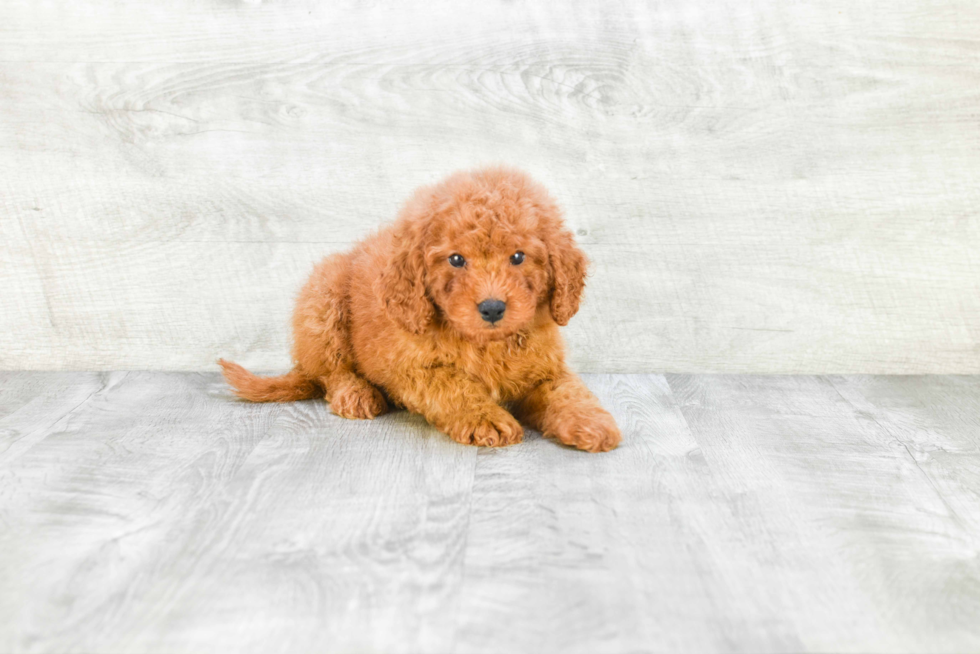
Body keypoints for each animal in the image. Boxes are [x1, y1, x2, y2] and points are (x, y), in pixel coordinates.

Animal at [220, 167, 620, 454]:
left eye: (519, 257)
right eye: (456, 260)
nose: (492, 308)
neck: (486, 344)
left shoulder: (545, 369)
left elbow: (568, 391)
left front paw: (594, 423)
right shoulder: (414, 370)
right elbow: (456, 387)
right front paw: (488, 419)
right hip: (323, 296)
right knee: (330, 372)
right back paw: (357, 394)